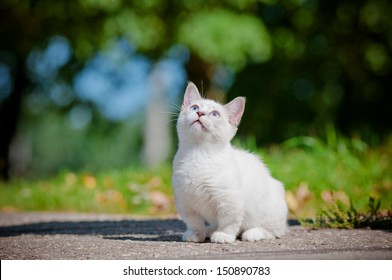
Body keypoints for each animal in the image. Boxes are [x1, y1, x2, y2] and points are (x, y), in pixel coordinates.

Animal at [172, 81, 288, 243]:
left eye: (215, 114)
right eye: (194, 107)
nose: (200, 113)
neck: (198, 153)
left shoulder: (229, 200)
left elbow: (228, 221)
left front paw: (223, 235)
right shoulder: (185, 201)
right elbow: (193, 221)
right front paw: (195, 234)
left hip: (270, 211)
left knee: (274, 231)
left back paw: (253, 233)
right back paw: (209, 230)